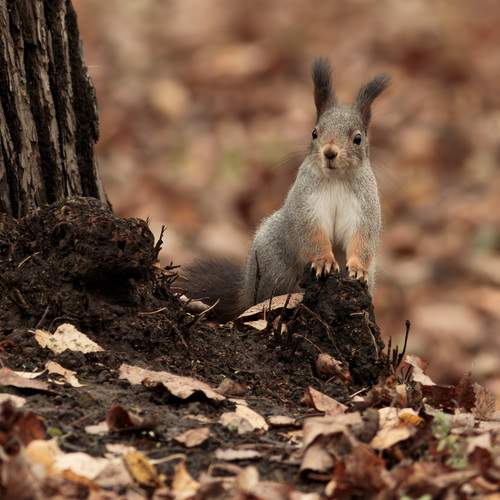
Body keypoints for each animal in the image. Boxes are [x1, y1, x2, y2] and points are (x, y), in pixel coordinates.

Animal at [179, 58, 389, 322]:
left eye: (358, 138)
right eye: (314, 132)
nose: (330, 152)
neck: (336, 179)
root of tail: (245, 291)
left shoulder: (364, 207)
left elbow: (362, 237)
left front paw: (358, 268)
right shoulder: (305, 203)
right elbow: (311, 232)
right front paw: (323, 260)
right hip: (272, 260)